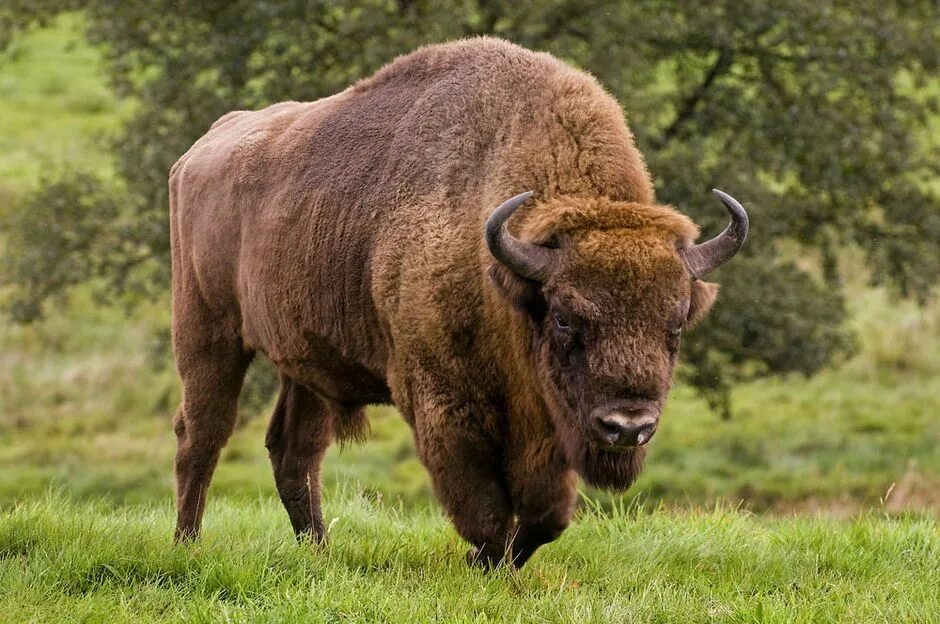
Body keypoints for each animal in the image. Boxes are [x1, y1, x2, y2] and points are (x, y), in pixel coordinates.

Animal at [171, 36, 748, 568]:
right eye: (565, 318)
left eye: (676, 324)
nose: (627, 427)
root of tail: (199, 151)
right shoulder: (445, 405)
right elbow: (485, 508)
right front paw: (481, 561)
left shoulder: (543, 427)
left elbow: (546, 516)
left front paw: (498, 560)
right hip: (207, 333)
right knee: (202, 435)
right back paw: (188, 545)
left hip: (307, 362)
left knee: (294, 450)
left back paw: (319, 552)